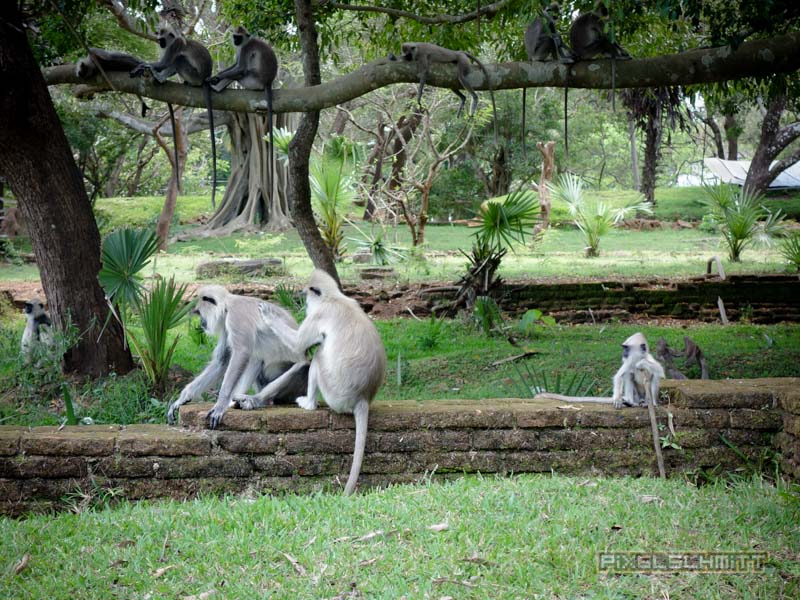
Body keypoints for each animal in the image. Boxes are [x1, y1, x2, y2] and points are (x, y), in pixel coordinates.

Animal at [131, 23, 219, 209]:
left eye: (162, 39)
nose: (159, 42)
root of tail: (205, 78)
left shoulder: (176, 45)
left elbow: (164, 63)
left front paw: (148, 67)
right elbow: (166, 64)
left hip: (193, 74)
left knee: (178, 60)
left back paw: (160, 77)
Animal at [167, 284, 308, 428]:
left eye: (200, 313)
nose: (202, 323)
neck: (227, 305)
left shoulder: (236, 315)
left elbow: (242, 352)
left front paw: (220, 405)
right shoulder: (225, 324)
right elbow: (222, 361)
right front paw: (183, 398)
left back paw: (254, 401)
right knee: (256, 358)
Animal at [208, 27, 280, 216]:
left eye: (239, 37)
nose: (235, 41)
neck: (246, 42)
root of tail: (268, 82)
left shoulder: (246, 49)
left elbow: (239, 67)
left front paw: (216, 78)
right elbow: (235, 65)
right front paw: (215, 77)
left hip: (252, 80)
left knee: (242, 73)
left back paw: (216, 87)